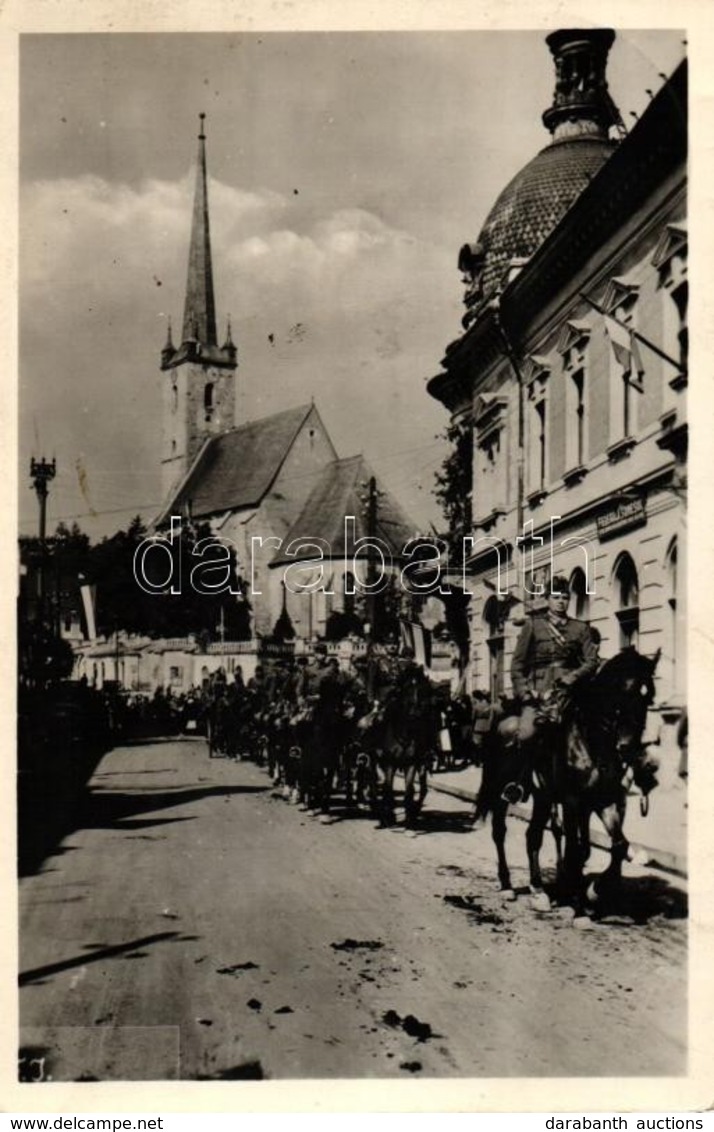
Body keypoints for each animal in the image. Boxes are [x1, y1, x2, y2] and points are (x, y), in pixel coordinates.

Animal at [475, 652, 660, 914]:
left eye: (648, 695)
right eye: (619, 691)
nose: (629, 747)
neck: (592, 741)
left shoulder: (605, 801)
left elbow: (617, 846)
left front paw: (593, 890)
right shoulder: (573, 802)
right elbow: (575, 850)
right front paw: (579, 906)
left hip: (542, 798)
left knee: (533, 836)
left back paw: (538, 889)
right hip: (500, 791)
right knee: (499, 831)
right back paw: (507, 885)